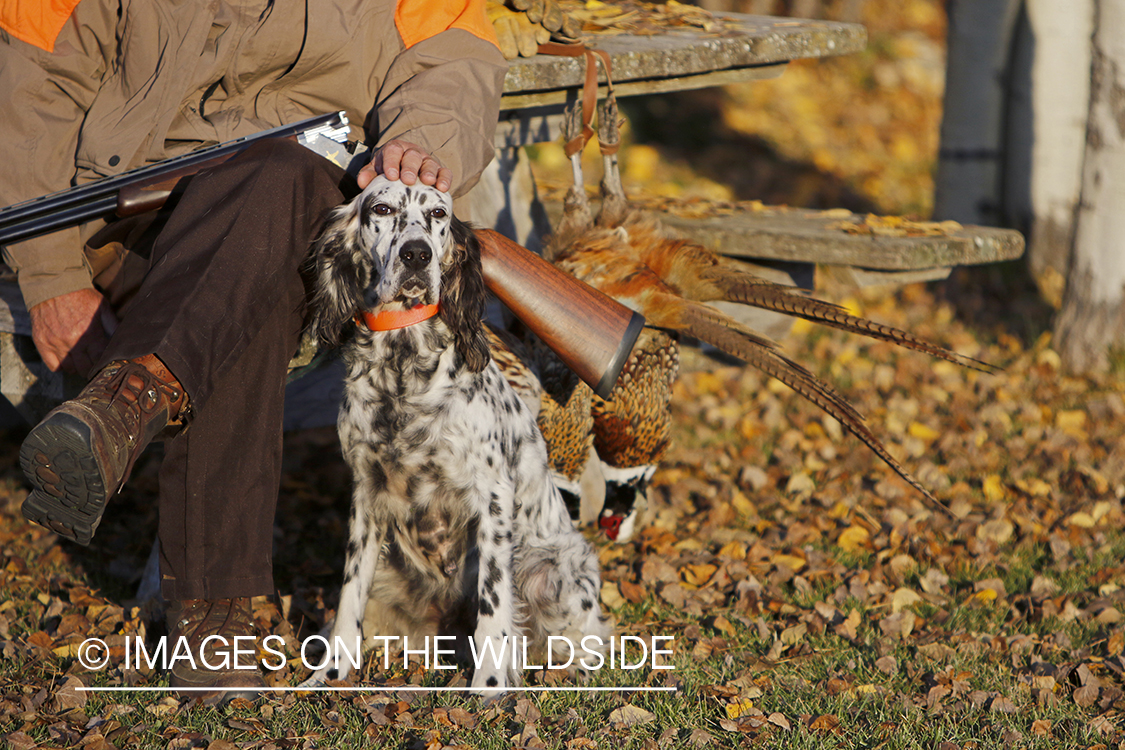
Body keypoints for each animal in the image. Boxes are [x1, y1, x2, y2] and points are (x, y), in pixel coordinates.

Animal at [303, 176, 612, 692]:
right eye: (381, 209)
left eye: (438, 215)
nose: (416, 254)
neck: (403, 366)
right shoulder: (366, 494)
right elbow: (349, 597)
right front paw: (330, 673)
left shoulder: (492, 496)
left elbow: (494, 603)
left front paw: (490, 686)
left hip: (552, 570)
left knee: (583, 638)